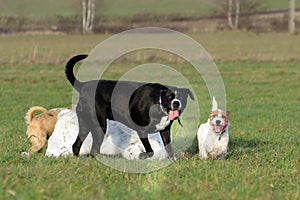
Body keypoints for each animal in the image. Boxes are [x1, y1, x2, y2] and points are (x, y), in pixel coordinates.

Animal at [65, 54, 195, 159]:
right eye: (169, 97)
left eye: (182, 97)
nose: (176, 102)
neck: (158, 103)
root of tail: (83, 86)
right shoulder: (142, 130)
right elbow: (150, 151)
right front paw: (142, 155)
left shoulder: (165, 131)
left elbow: (169, 149)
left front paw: (173, 160)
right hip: (99, 126)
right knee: (93, 150)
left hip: (85, 124)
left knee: (76, 145)